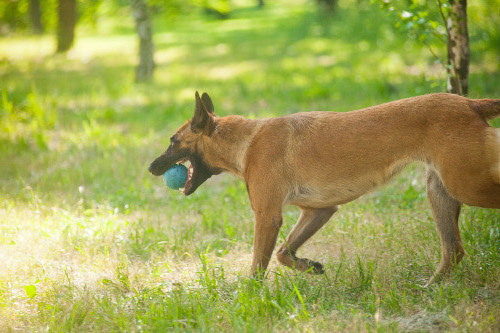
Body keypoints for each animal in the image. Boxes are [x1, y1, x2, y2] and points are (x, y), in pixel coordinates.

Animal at [149, 91, 500, 286]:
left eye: (173, 141)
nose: (151, 168)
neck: (247, 139)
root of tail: (471, 103)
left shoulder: (267, 216)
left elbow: (259, 265)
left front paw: (250, 298)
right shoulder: (318, 210)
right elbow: (284, 254)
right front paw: (309, 267)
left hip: (467, 184)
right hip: (441, 193)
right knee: (454, 251)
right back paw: (430, 288)